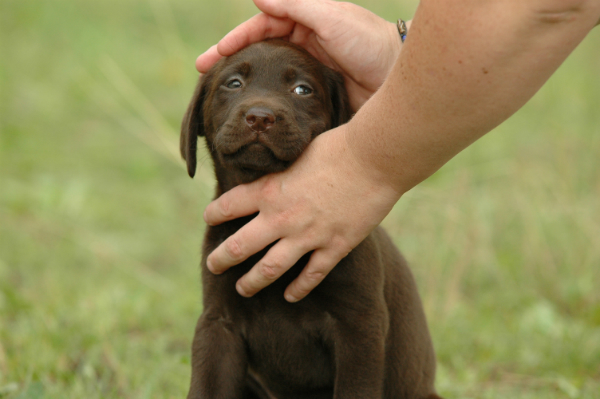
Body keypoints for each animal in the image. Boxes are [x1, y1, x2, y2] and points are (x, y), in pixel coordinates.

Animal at [180, 38, 438, 399]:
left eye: (302, 89)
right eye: (233, 84)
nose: (260, 118)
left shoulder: (360, 327)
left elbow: (355, 389)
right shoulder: (219, 323)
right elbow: (207, 386)